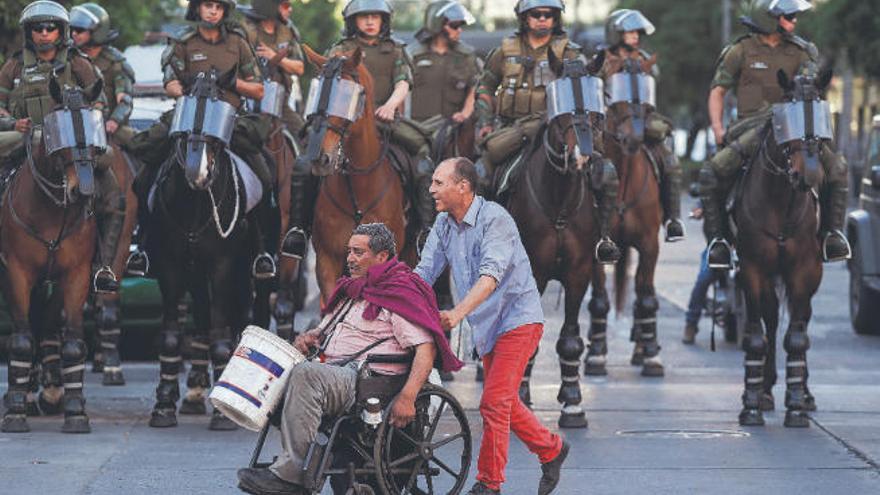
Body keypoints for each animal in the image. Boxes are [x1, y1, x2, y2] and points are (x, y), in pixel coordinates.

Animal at [0, 78, 106, 434]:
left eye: (96, 137)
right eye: (59, 135)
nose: (82, 191)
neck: (51, 209)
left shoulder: (75, 276)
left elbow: (72, 341)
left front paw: (75, 411)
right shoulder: (17, 274)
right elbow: (20, 339)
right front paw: (15, 410)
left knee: (46, 326)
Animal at [506, 53, 608, 426]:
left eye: (596, 113)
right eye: (562, 113)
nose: (586, 157)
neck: (559, 202)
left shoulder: (579, 272)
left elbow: (569, 339)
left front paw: (574, 401)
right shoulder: (533, 273)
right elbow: (526, 337)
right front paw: (521, 393)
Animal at [584, 54, 668, 378]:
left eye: (647, 105)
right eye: (612, 98)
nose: (634, 140)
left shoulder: (649, 246)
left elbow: (645, 296)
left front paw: (652, 356)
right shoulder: (596, 247)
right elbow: (599, 299)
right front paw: (596, 354)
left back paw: (643, 348)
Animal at [736, 68, 832, 428]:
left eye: (820, 110)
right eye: (786, 113)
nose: (811, 174)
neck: (781, 200)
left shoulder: (805, 271)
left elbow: (797, 337)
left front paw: (796, 404)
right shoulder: (751, 268)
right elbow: (755, 334)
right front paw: (750, 403)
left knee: (798, 321)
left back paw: (803, 392)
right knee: (770, 318)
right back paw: (763, 390)